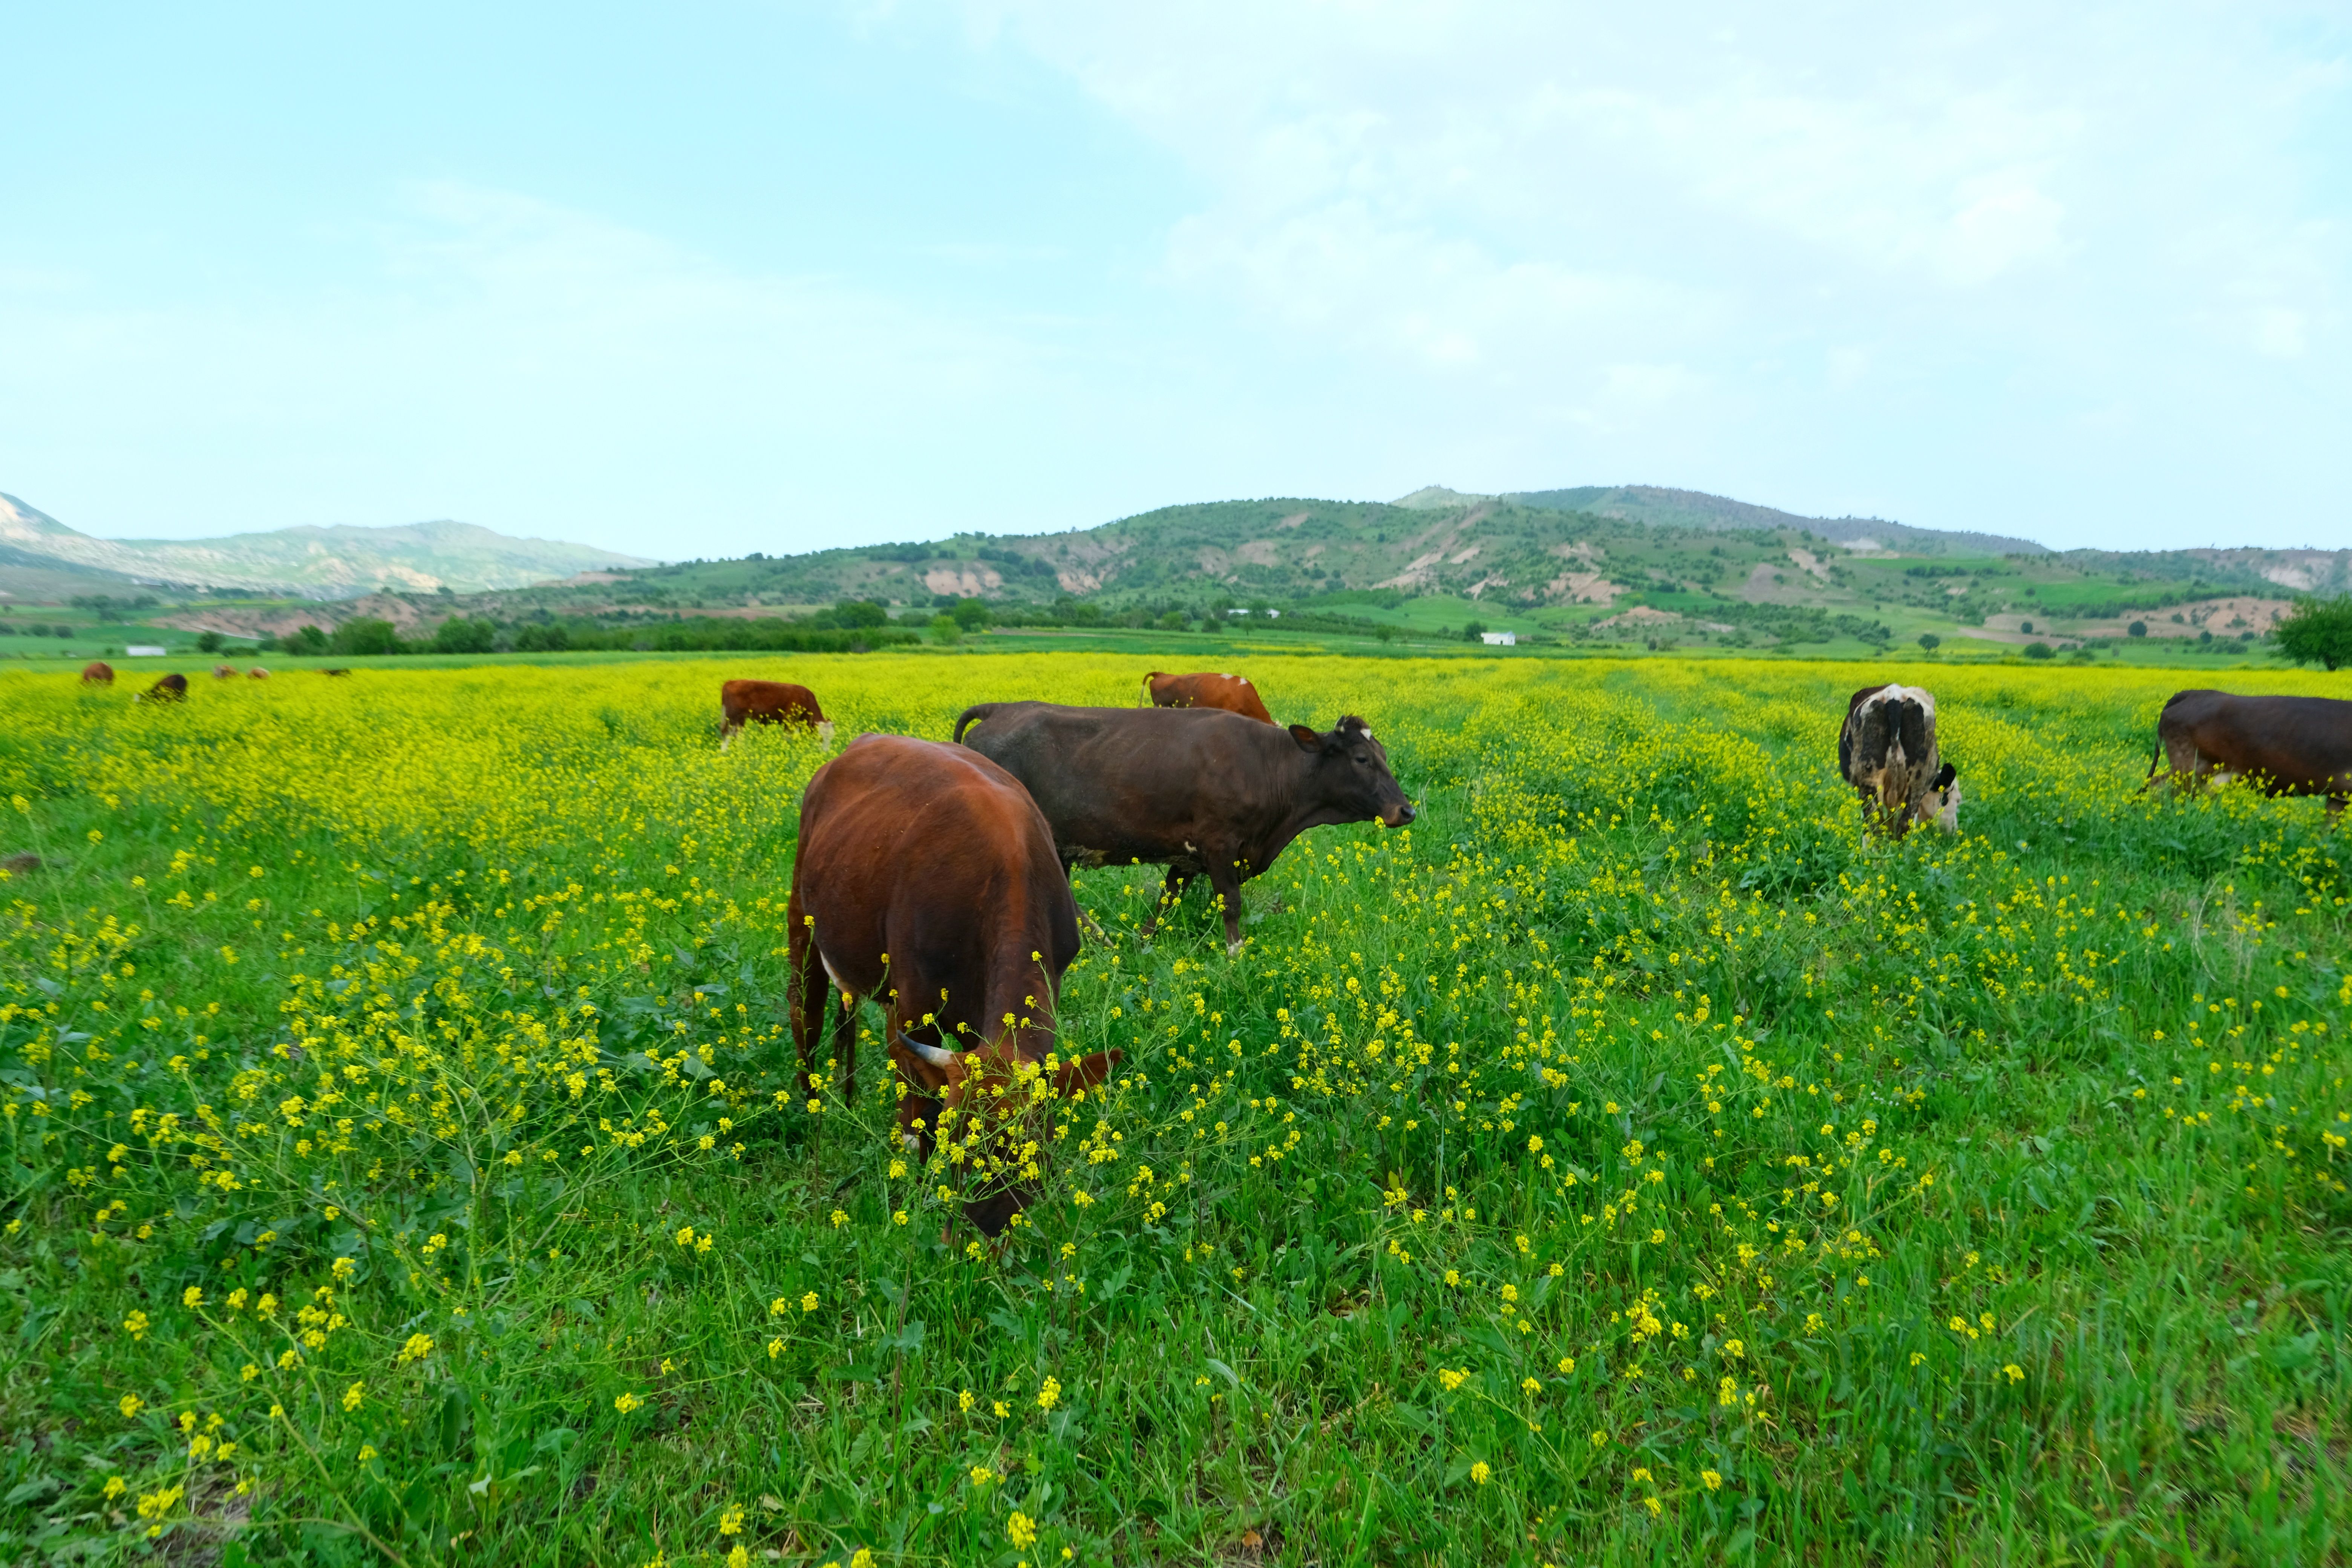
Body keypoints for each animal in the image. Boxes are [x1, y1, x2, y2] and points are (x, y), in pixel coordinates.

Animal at [720, 679, 834, 747]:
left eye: (832, 737)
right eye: (821, 737)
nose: (825, 751)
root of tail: (731, 682)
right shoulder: (789, 721)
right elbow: (787, 737)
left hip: (739, 720)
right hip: (733, 718)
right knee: (728, 735)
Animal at [787, 734, 1117, 1236]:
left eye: (1031, 1146)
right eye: (958, 1138)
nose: (982, 1228)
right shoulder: (913, 1008)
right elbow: (921, 1107)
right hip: (802, 918)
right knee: (805, 1013)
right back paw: (812, 1109)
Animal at [953, 702, 1414, 955]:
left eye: (1383, 753)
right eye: (1361, 759)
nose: (1406, 810)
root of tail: (1001, 708)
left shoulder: (1189, 856)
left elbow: (1165, 903)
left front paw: (1141, 944)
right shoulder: (1220, 845)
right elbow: (1231, 904)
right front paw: (1235, 955)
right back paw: (1100, 940)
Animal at [1839, 684, 1960, 837]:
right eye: (1953, 800)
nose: (1954, 831)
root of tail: (1894, 697)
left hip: (1869, 786)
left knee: (1875, 828)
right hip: (1914, 786)